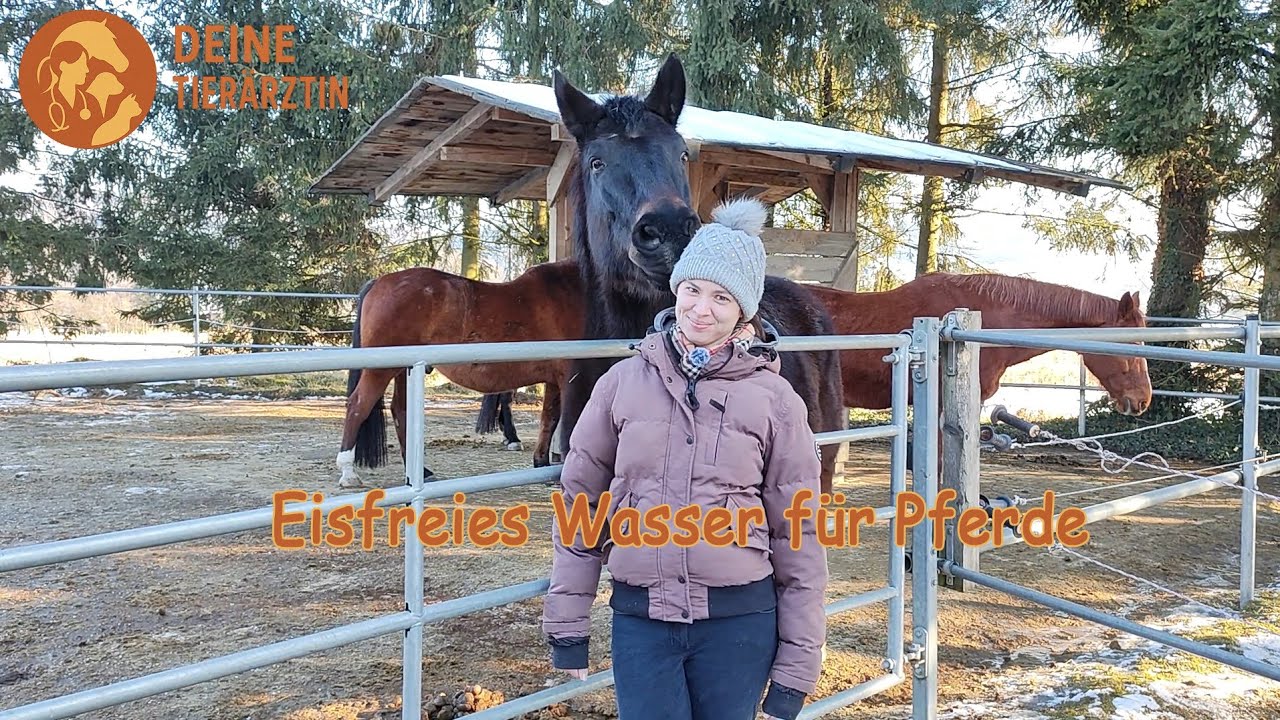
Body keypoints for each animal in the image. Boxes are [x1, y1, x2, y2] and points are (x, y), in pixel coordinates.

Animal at [335, 261, 582, 489]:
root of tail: (379, 281)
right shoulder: (570, 376)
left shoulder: (555, 379)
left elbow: (549, 418)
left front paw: (542, 464)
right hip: (380, 371)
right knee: (358, 405)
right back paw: (348, 473)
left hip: (405, 370)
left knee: (400, 411)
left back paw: (420, 473)